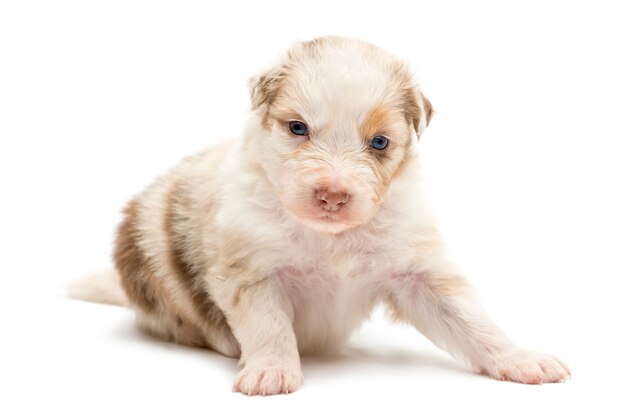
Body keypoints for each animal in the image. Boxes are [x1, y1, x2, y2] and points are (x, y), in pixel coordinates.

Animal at [68, 37, 564, 396]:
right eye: (298, 128)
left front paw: (520, 358)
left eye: (379, 142)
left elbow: (472, 322)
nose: (332, 195)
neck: (331, 236)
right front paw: (271, 370)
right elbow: (269, 327)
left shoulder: (417, 272)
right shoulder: (251, 274)